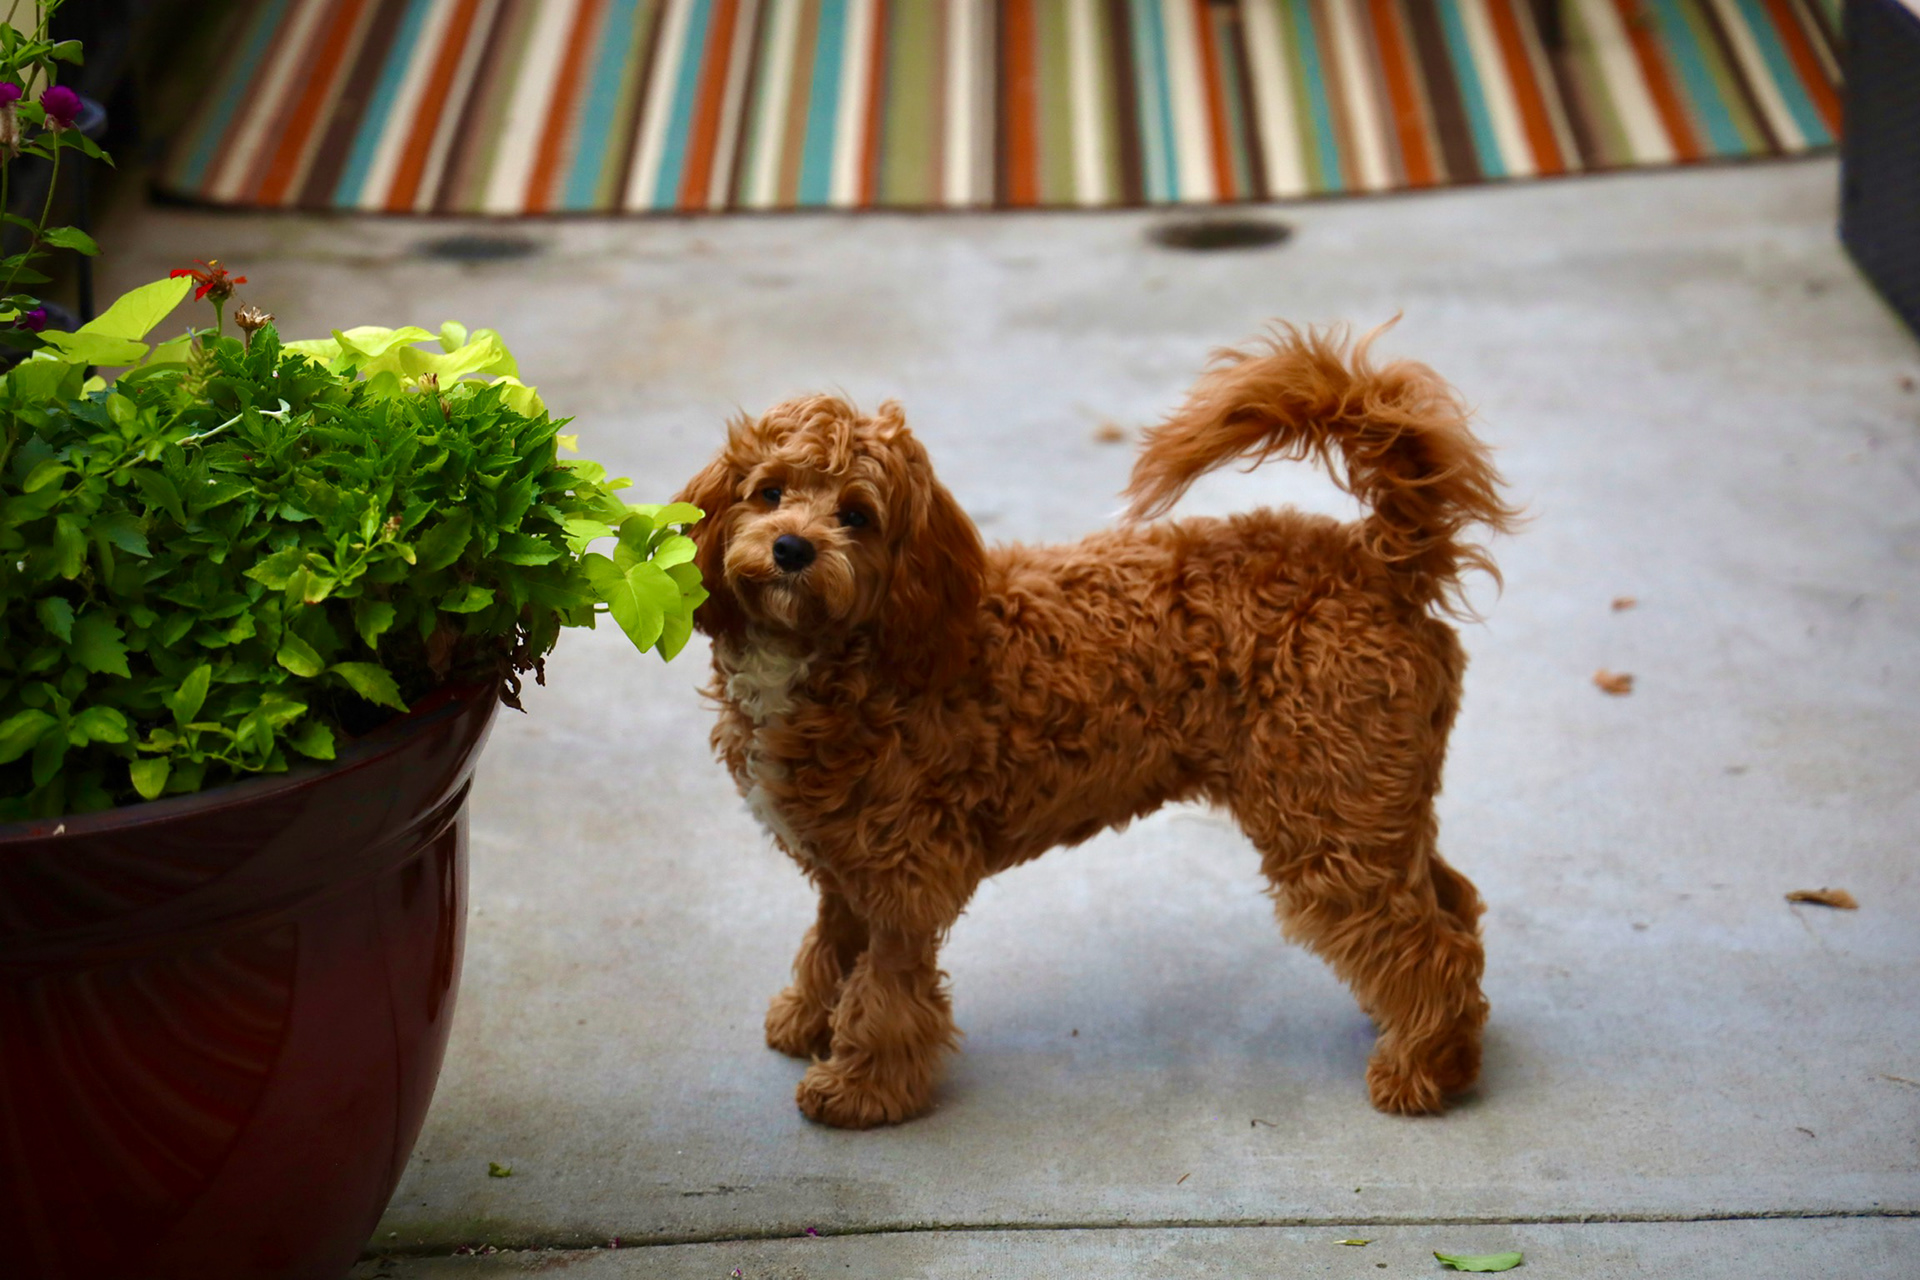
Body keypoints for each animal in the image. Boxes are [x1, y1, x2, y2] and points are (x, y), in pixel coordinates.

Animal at [675, 325, 1517, 1128]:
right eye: (768, 492)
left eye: (856, 514)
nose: (791, 547)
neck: (865, 646)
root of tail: (1380, 561)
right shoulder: (843, 861)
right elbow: (831, 944)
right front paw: (807, 1020)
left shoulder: (905, 873)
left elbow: (886, 989)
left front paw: (863, 1088)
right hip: (1370, 801)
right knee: (1452, 904)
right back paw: (1434, 1038)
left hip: (1329, 819)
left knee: (1428, 942)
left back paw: (1424, 1067)